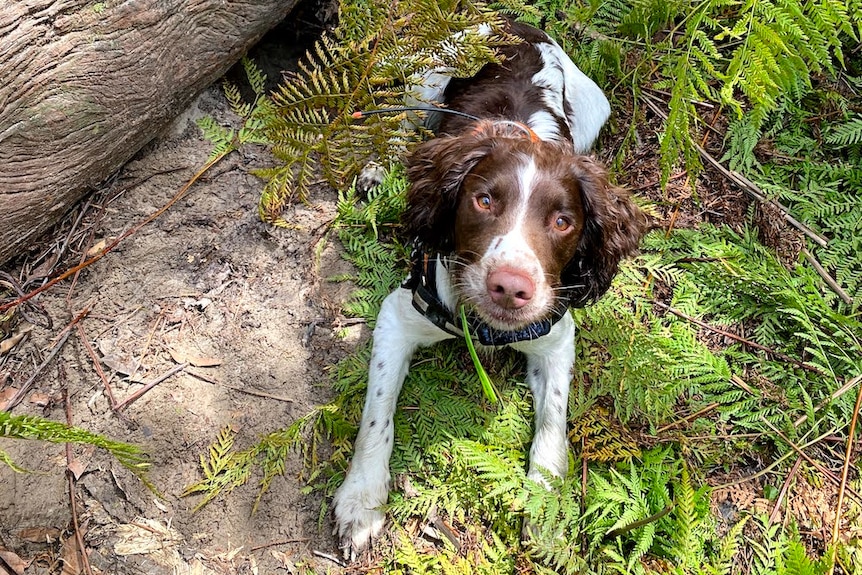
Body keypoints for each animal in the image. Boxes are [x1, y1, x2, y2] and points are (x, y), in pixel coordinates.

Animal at [334, 20, 644, 556]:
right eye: (483, 200)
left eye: (563, 222)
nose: (510, 288)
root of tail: (524, 24)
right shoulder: (399, 314)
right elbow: (377, 415)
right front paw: (361, 501)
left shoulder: (555, 337)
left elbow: (552, 421)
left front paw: (545, 508)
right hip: (429, 76)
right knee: (398, 126)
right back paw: (376, 168)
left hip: (594, 109)